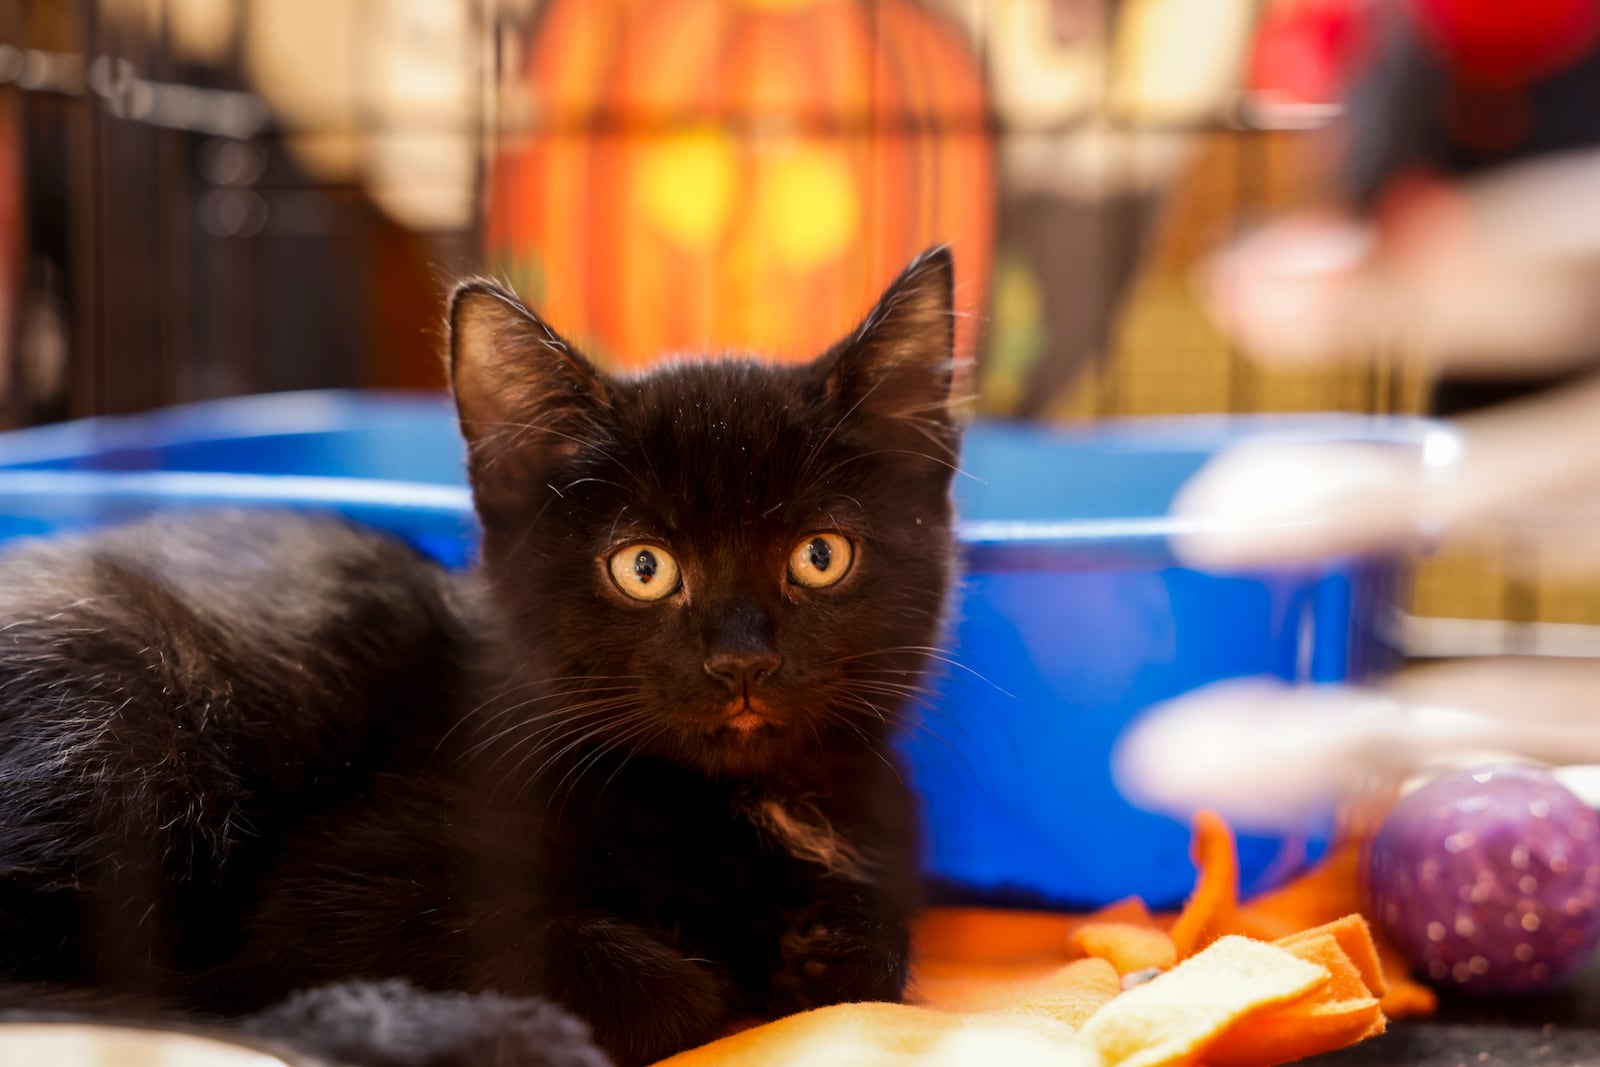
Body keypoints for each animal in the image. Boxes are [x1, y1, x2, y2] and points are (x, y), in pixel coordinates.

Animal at [0, 246, 953, 1062]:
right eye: (644, 567)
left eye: (820, 556)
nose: (742, 661)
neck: (744, 798)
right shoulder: (336, 892)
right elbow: (664, 989)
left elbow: (865, 969)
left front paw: (826, 945)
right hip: (122, 723)